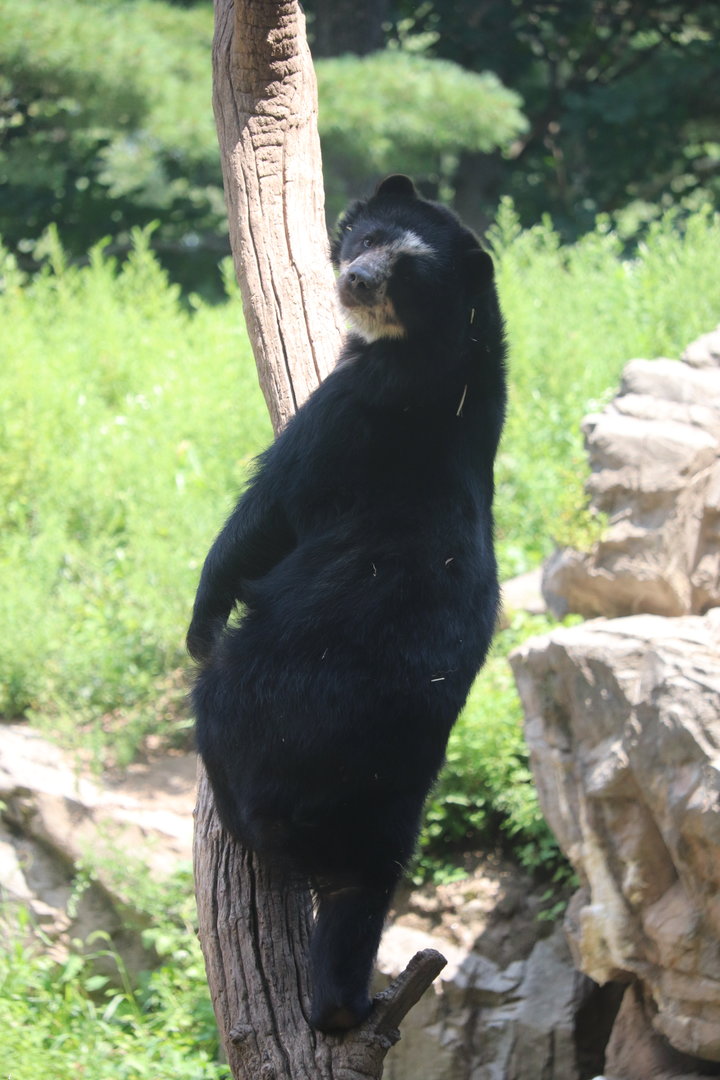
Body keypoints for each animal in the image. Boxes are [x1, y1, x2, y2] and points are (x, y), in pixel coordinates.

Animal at [187, 174, 507, 1032]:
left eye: (408, 269)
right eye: (368, 239)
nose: (356, 280)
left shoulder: (349, 415)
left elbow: (263, 514)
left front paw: (197, 621)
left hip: (259, 706)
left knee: (218, 705)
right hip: (387, 818)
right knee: (356, 909)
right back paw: (344, 1007)